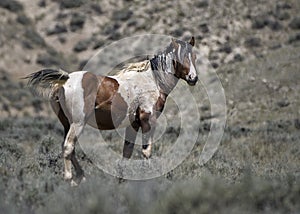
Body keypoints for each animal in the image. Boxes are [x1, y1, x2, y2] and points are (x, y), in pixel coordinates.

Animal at [25, 37, 198, 186]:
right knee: (68, 147)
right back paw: (71, 180)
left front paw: (121, 180)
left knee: (69, 148)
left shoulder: (133, 125)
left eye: (194, 56)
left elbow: (126, 152)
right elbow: (146, 151)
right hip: (77, 123)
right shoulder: (148, 121)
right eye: (181, 57)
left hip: (67, 124)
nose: (193, 78)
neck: (153, 80)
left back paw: (82, 177)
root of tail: (65, 79)